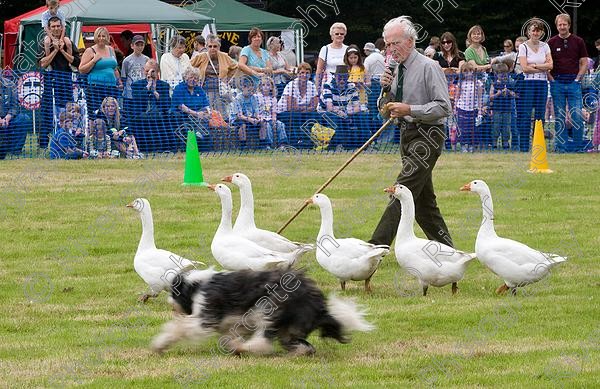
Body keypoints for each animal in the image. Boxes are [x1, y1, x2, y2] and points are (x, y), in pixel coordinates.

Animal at [152, 266, 372, 354]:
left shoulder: (205, 316)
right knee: (303, 345)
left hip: (271, 307)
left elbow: (180, 328)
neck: (197, 286)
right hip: (288, 327)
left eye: (173, 291)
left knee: (264, 340)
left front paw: (160, 344)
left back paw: (243, 348)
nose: (169, 301)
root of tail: (320, 305)